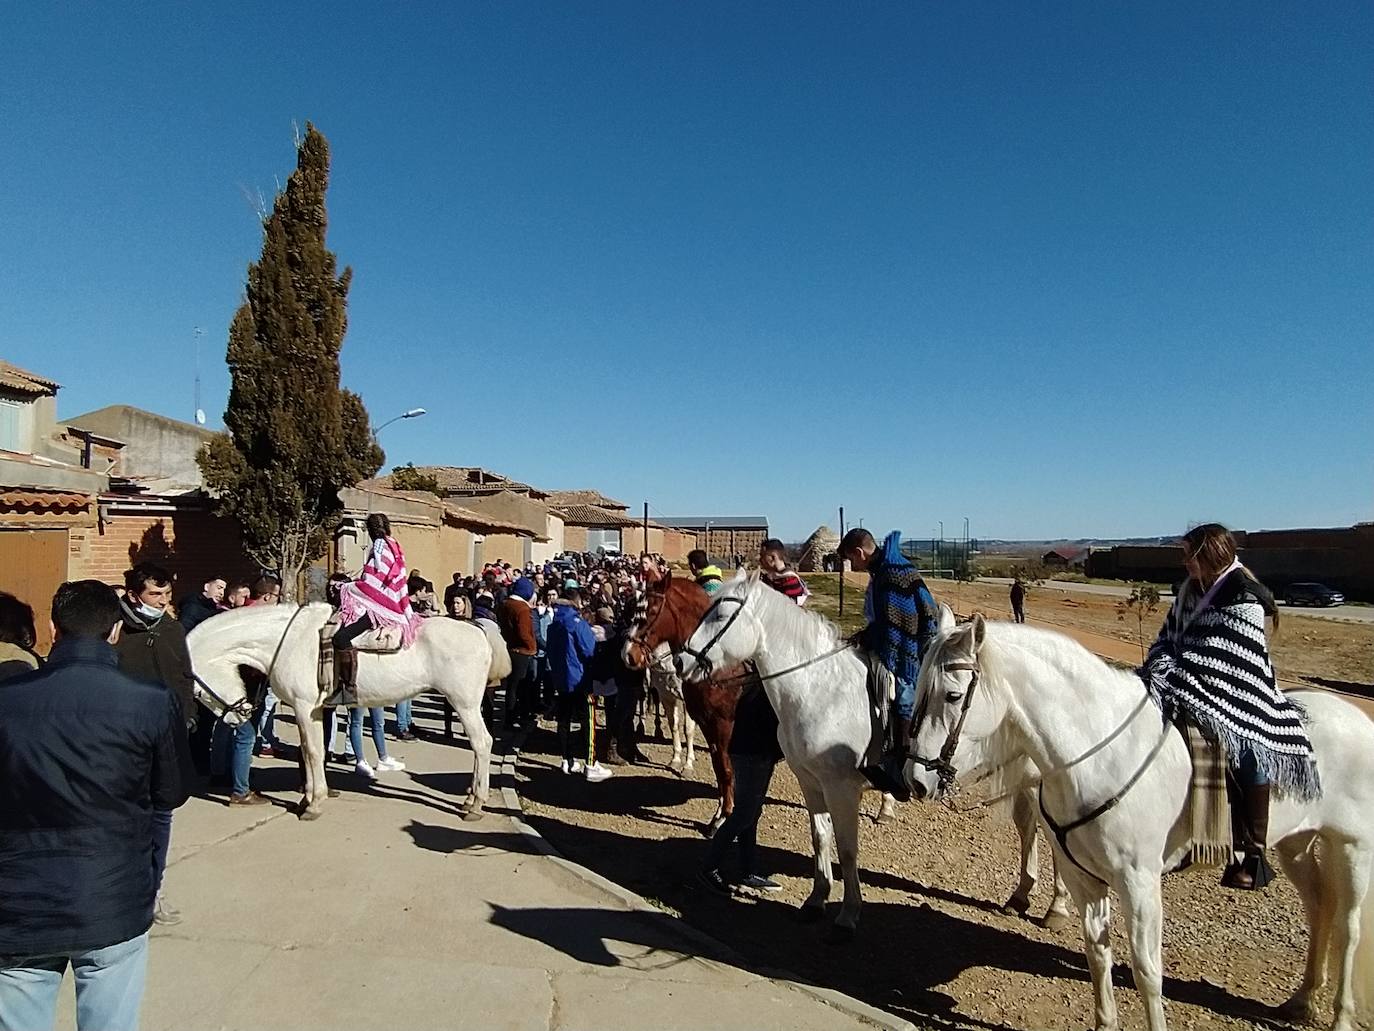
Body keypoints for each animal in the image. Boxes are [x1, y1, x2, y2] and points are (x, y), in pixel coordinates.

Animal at [182, 610, 505, 819]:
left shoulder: (303, 707)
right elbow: (309, 752)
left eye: (196, 692)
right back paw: (469, 798)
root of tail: (477, 628)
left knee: (482, 743)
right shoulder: (314, 711)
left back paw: (476, 804)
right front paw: (307, 797)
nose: (238, 716)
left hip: (464, 703)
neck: (289, 641)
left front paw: (313, 803)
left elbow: (312, 752)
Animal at [629, 577, 747, 835]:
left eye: (651, 611)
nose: (629, 654)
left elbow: (725, 769)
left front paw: (723, 817)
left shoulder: (723, 725)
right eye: (633, 609)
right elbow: (719, 769)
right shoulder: (707, 724)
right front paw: (717, 816)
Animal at [676, 577, 1071, 940]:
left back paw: (1056, 907)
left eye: (721, 615)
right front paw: (815, 901)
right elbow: (820, 839)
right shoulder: (811, 783)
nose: (680, 661)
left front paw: (848, 914)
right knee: (1028, 828)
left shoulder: (841, 789)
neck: (819, 689)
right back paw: (1021, 895)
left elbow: (848, 849)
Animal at [906, 618, 1368, 1028]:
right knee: (1319, 906)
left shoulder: (1139, 883)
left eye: (952, 695)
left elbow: (1147, 971)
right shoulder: (1084, 878)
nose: (914, 779)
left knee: (1348, 927)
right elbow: (1098, 955)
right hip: (1295, 844)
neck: (1099, 754)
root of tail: (1359, 720)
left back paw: (1341, 1017)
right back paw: (1302, 1000)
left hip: (1352, 847)